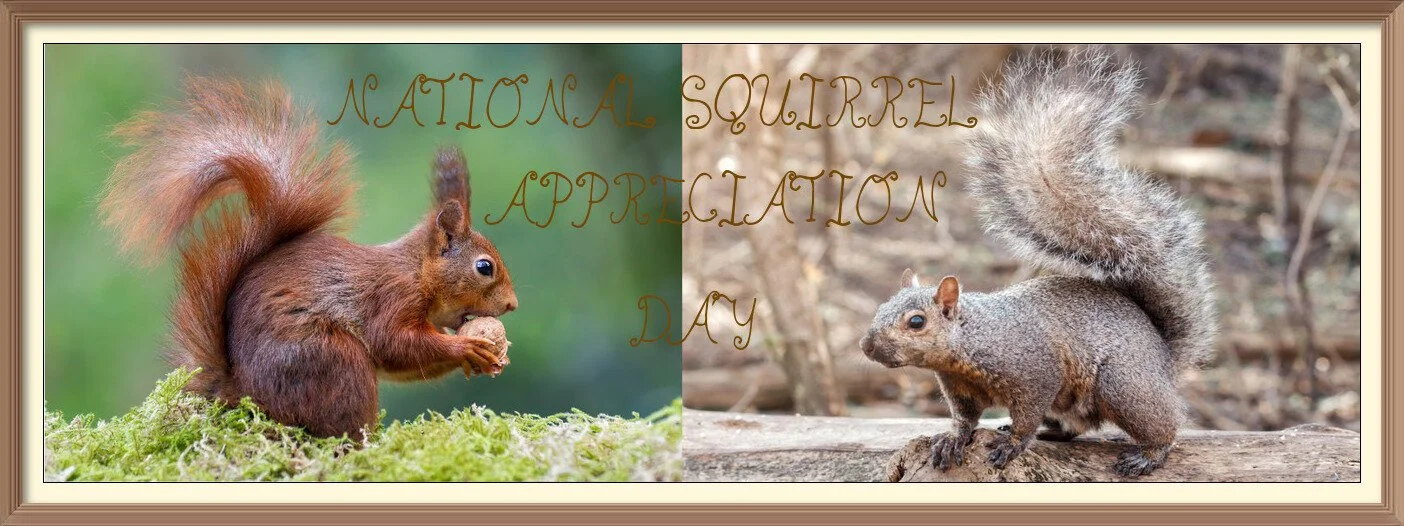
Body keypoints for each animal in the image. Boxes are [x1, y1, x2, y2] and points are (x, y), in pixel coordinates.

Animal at [99, 78, 519, 439]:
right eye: (484, 267)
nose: (512, 305)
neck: (417, 271)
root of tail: (241, 392)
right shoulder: (392, 296)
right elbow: (394, 344)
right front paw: (466, 348)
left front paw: (486, 359)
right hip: (333, 359)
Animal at [859, 48, 1217, 478]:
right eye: (880, 307)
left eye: (916, 322)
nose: (866, 345)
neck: (973, 339)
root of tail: (1165, 359)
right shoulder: (960, 389)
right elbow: (965, 419)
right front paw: (953, 439)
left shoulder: (1035, 372)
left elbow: (1028, 413)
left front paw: (1013, 443)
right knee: (1075, 425)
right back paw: (1053, 432)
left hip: (1123, 385)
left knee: (1165, 424)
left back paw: (1148, 454)